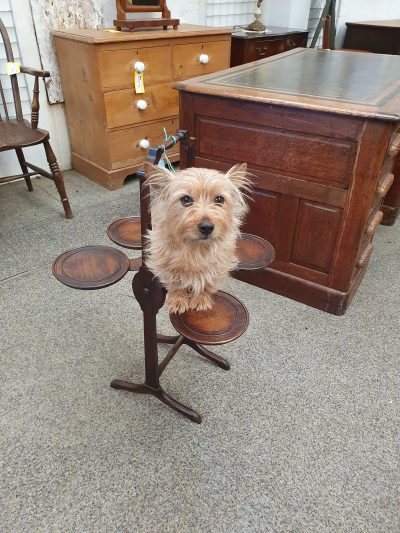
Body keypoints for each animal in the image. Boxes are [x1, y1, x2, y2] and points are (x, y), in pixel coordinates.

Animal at [144, 161, 250, 312]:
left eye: (219, 199)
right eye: (186, 199)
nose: (207, 227)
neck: (196, 247)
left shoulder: (218, 265)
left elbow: (206, 281)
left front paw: (200, 299)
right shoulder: (163, 262)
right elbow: (175, 281)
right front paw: (178, 299)